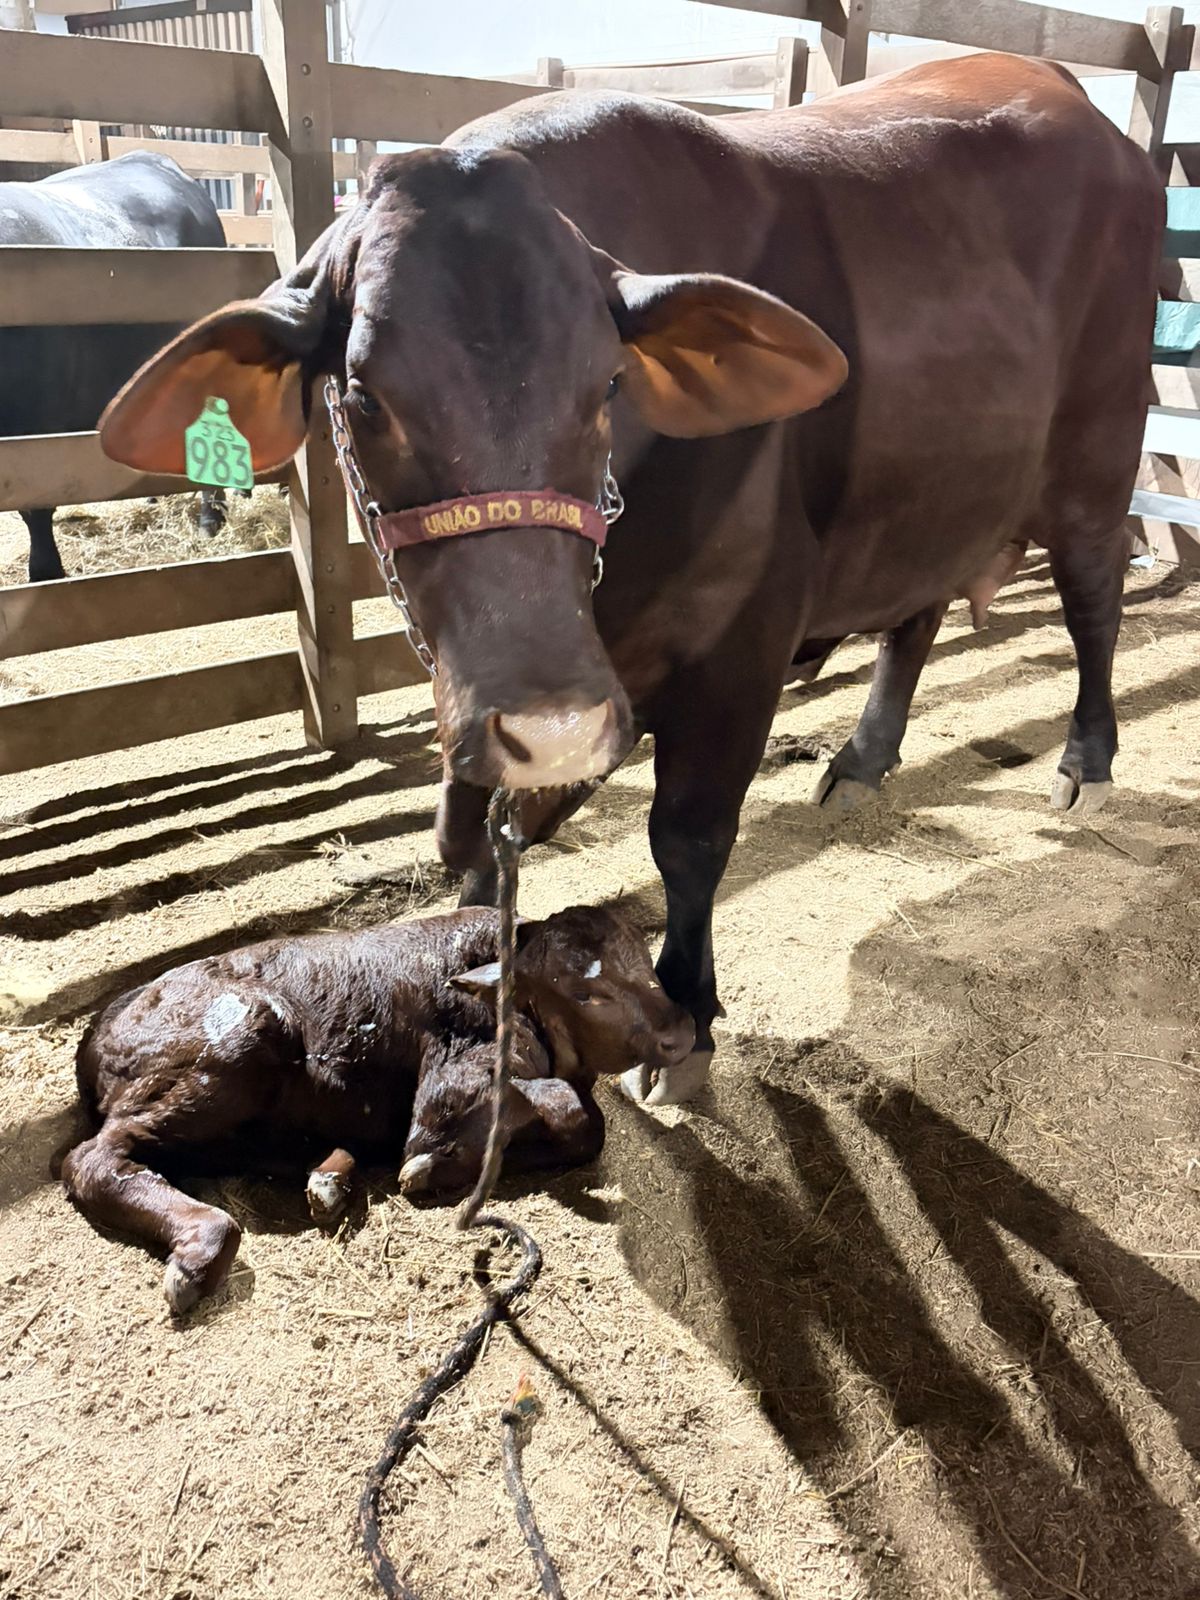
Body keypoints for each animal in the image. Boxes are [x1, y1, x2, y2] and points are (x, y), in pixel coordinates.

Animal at [63, 904, 693, 1312]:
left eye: (647, 962)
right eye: (587, 993)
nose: (679, 1032)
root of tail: (97, 1029)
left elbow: (587, 1122)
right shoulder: (447, 1086)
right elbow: (567, 1108)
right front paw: (435, 1166)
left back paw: (330, 1181)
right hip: (240, 1038)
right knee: (94, 1158)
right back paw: (201, 1253)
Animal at [96, 56, 1163, 1106]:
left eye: (609, 383)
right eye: (360, 397)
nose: (552, 724)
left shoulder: (742, 648)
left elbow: (688, 838)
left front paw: (688, 1023)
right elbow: (487, 848)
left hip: (1098, 458)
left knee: (1094, 599)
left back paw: (1086, 761)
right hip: (936, 489)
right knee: (920, 610)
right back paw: (864, 759)